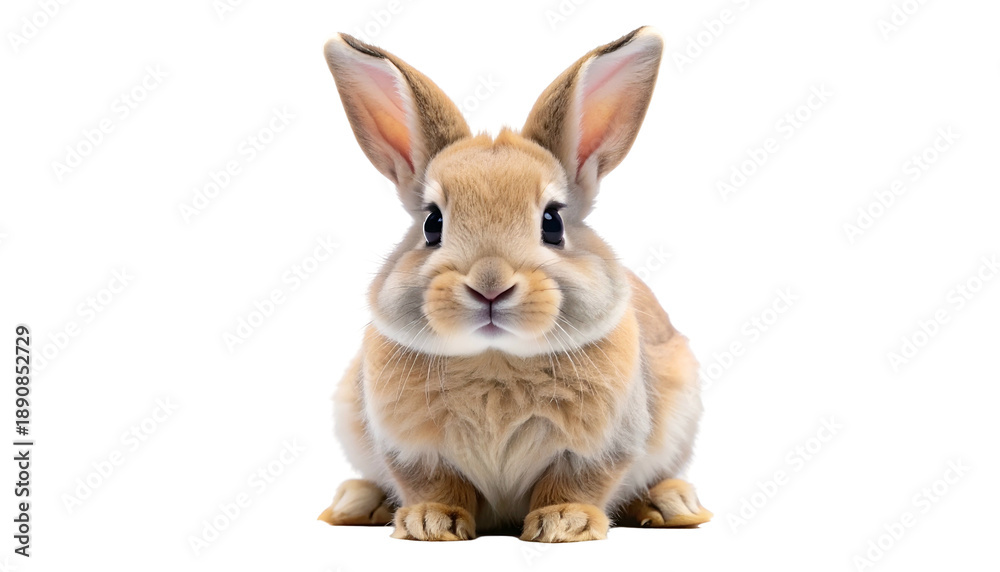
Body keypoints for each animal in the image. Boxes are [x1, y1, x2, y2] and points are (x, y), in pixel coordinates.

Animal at [316, 26, 711, 542]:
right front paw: (430, 522)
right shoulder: (411, 449)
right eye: (432, 224)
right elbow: (434, 483)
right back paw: (355, 503)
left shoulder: (604, 446)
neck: (495, 359)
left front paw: (564, 522)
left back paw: (673, 505)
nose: (490, 285)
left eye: (552, 222)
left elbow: (577, 482)